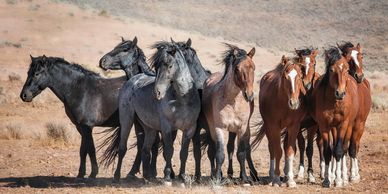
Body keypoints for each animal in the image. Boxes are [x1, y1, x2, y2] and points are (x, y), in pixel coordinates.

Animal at [101, 39, 200, 185]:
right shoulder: (167, 128)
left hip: (149, 128)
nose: (157, 92)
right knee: (123, 147)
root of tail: (133, 80)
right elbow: (168, 150)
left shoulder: (189, 129)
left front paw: (182, 176)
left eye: (170, 65)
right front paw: (167, 176)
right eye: (157, 66)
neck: (182, 99)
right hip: (127, 121)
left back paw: (147, 176)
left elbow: (184, 152)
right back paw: (118, 176)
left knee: (146, 149)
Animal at [200, 44, 258, 185]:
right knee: (214, 150)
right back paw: (218, 173)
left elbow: (241, 153)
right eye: (237, 69)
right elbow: (220, 154)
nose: (249, 95)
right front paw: (217, 177)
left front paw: (244, 177)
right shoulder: (219, 128)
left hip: (236, 130)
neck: (233, 102)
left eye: (253, 67)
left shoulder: (242, 128)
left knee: (234, 148)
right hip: (213, 130)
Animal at [253, 55, 308, 187]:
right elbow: (278, 151)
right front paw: (277, 178)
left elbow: (290, 150)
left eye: (300, 77)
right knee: (272, 148)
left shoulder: (294, 126)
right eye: (285, 77)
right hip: (268, 127)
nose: (294, 103)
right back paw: (272, 175)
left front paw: (290, 180)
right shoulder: (274, 126)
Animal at [310, 46, 360, 187]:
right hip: (333, 128)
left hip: (349, 126)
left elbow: (338, 150)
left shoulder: (343, 125)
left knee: (344, 148)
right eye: (331, 70)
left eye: (347, 70)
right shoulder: (324, 126)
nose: (340, 93)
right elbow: (328, 151)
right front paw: (328, 179)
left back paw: (343, 177)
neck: (334, 102)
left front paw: (338, 180)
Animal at [336, 41, 372, 183]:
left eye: (361, 56)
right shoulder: (347, 125)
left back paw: (355, 173)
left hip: (360, 126)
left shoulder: (357, 124)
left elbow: (352, 148)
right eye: (348, 59)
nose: (359, 76)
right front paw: (342, 176)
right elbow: (344, 148)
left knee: (355, 146)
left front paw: (352, 175)